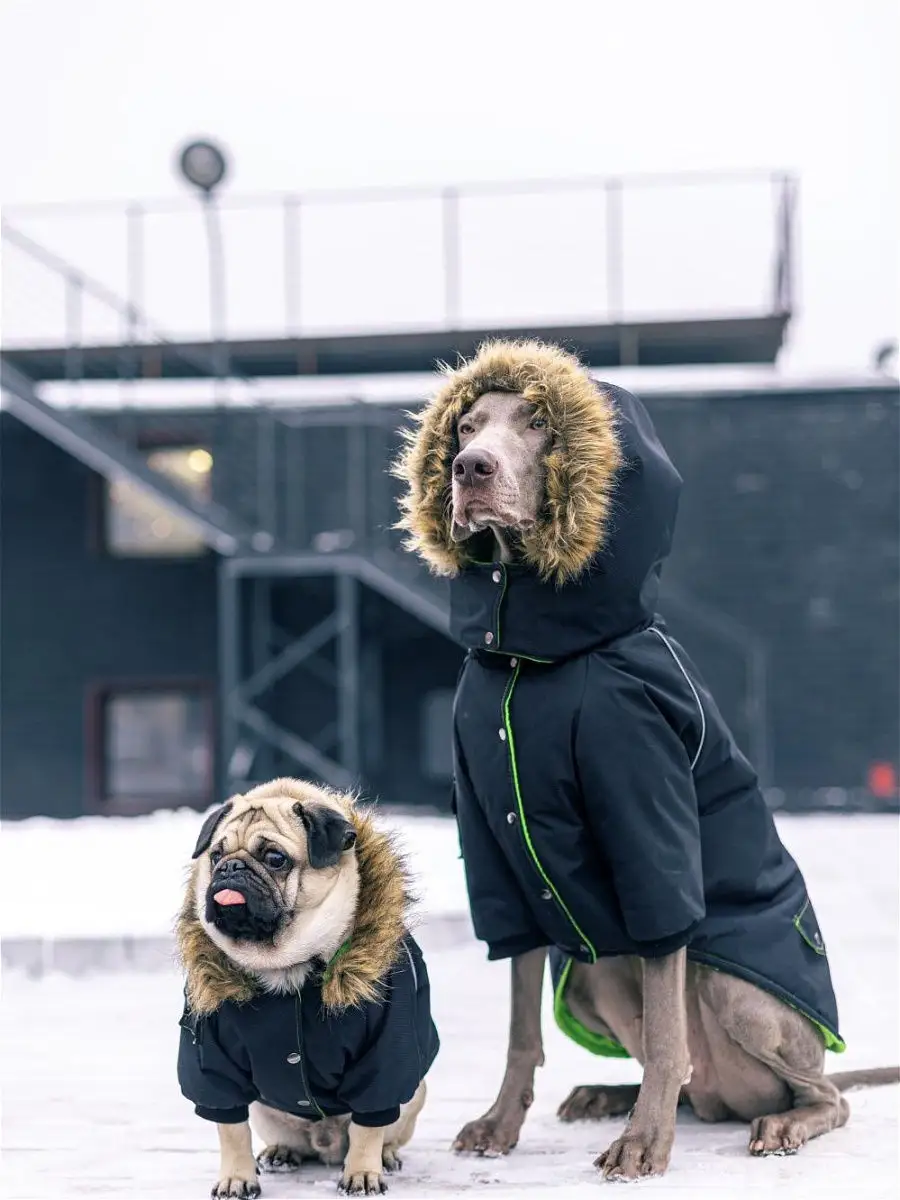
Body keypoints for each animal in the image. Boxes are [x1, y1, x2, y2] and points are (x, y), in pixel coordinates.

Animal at [396, 340, 900, 1180]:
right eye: (467, 424)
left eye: (539, 422)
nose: (469, 467)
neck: (529, 657)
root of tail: (739, 1099)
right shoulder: (499, 850)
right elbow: (521, 1029)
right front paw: (501, 1124)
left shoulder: (650, 838)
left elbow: (668, 1032)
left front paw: (644, 1146)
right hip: (594, 975)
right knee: (695, 1080)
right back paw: (607, 1092)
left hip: (738, 995)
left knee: (820, 1095)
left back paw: (776, 1122)